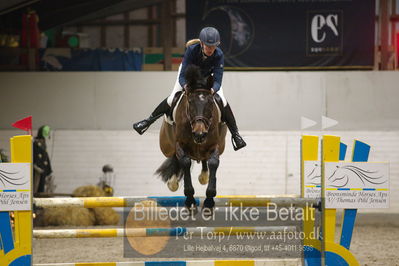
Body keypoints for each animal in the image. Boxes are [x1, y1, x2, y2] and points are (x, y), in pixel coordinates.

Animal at [155, 64, 227, 212]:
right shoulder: (180, 144)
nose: (200, 134)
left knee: (204, 160)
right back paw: (173, 182)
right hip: (166, 146)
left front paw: (209, 201)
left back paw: (203, 176)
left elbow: (213, 163)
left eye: (210, 103)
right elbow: (185, 162)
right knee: (174, 157)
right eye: (190, 102)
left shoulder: (214, 145)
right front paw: (190, 201)